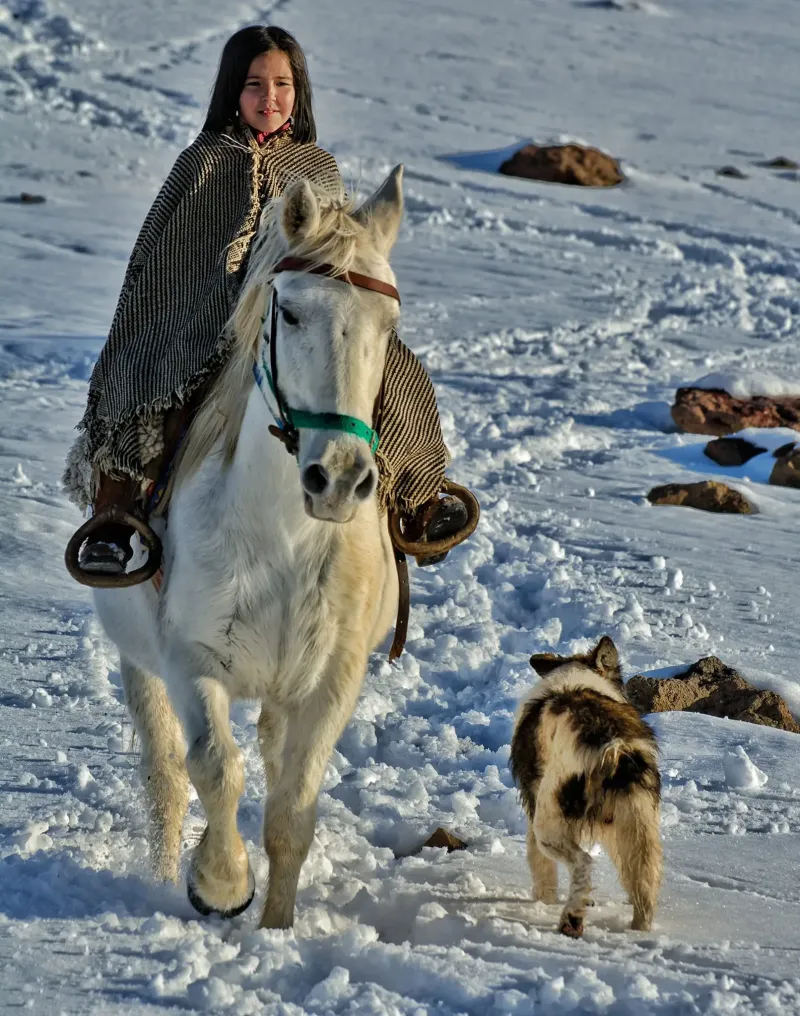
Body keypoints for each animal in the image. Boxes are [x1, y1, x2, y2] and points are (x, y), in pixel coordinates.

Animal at [94, 166, 404, 930]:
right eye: (288, 313)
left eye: (388, 326)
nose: (339, 478)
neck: (283, 542)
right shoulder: (191, 662)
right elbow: (214, 767)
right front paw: (220, 885)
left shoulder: (330, 683)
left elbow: (292, 808)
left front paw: (278, 926)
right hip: (138, 663)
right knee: (167, 775)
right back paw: (165, 869)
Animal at [512, 633, 662, 934]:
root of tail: (614, 746)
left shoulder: (534, 811)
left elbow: (542, 872)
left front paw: (543, 903)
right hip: (639, 825)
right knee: (644, 889)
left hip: (548, 824)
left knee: (583, 862)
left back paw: (571, 920)